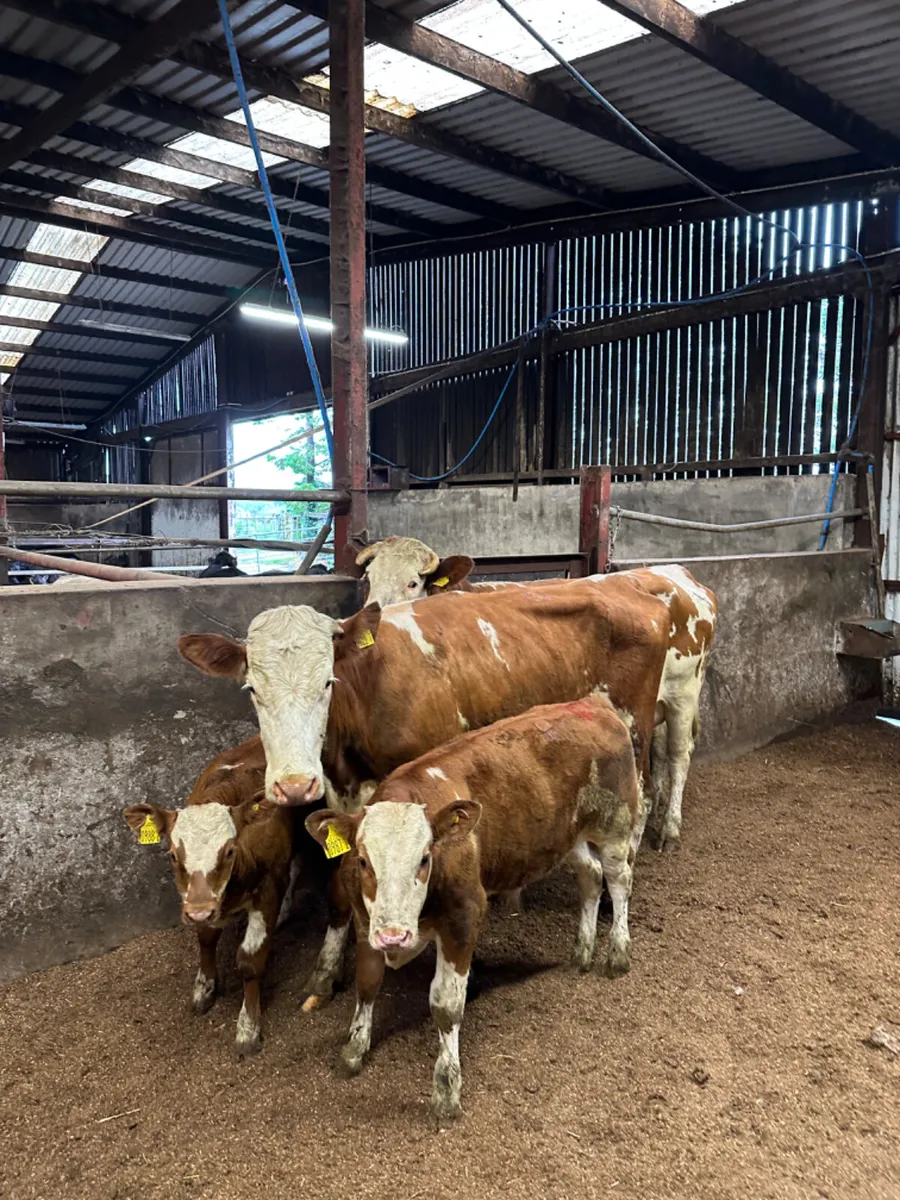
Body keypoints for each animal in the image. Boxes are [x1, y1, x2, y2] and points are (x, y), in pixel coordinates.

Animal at [123, 737, 302, 1055]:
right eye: (173, 854)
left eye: (229, 850)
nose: (199, 912)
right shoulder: (199, 901)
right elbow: (206, 940)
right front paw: (203, 989)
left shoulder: (268, 889)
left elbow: (249, 961)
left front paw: (248, 1028)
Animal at [178, 579, 669, 1004]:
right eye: (251, 689)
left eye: (327, 682)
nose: (295, 785)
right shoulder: (341, 799)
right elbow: (339, 888)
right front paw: (326, 972)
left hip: (636, 731)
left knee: (640, 809)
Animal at [305, 693, 640, 1123]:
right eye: (363, 860)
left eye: (425, 858)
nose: (395, 935)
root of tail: (593, 702)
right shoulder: (367, 924)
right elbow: (367, 982)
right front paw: (354, 1050)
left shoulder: (464, 918)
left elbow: (446, 1005)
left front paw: (447, 1089)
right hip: (567, 837)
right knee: (591, 876)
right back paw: (582, 951)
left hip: (615, 825)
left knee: (618, 881)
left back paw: (617, 952)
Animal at [348, 537, 716, 849]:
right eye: (367, 580)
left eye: (412, 582)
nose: (372, 618)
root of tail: (676, 573)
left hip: (680, 696)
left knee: (678, 756)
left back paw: (669, 829)